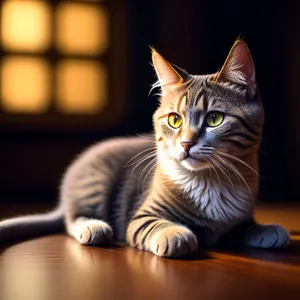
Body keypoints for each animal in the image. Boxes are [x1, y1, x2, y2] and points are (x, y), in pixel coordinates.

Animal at [0, 40, 290, 258]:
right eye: (175, 120)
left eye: (214, 118)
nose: (187, 143)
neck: (211, 181)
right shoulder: (142, 215)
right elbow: (153, 225)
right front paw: (174, 234)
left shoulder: (238, 215)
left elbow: (243, 226)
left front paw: (265, 229)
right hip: (94, 183)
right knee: (71, 220)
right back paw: (93, 227)